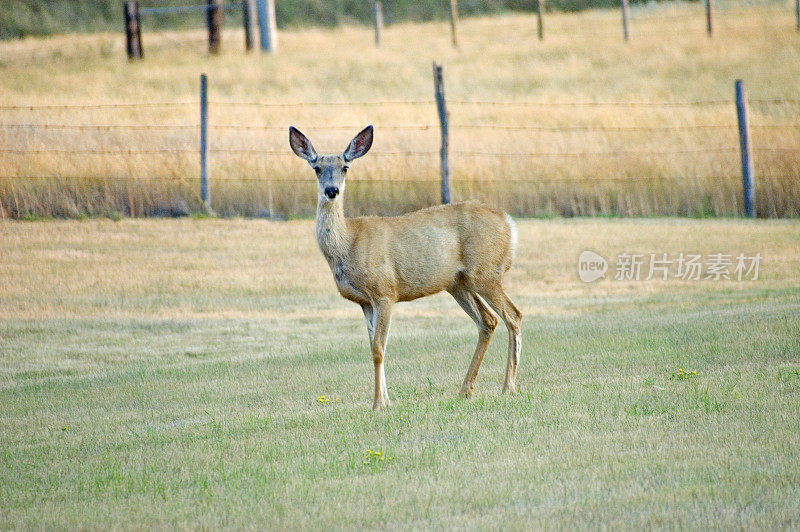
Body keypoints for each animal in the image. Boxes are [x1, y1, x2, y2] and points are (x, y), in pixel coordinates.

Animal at [290, 125, 520, 412]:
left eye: (345, 167)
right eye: (317, 168)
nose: (332, 190)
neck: (348, 244)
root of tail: (509, 224)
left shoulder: (385, 291)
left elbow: (379, 348)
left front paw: (378, 404)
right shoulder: (365, 301)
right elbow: (373, 346)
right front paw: (386, 400)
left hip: (486, 273)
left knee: (513, 316)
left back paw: (508, 387)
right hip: (459, 283)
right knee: (488, 321)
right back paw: (465, 390)